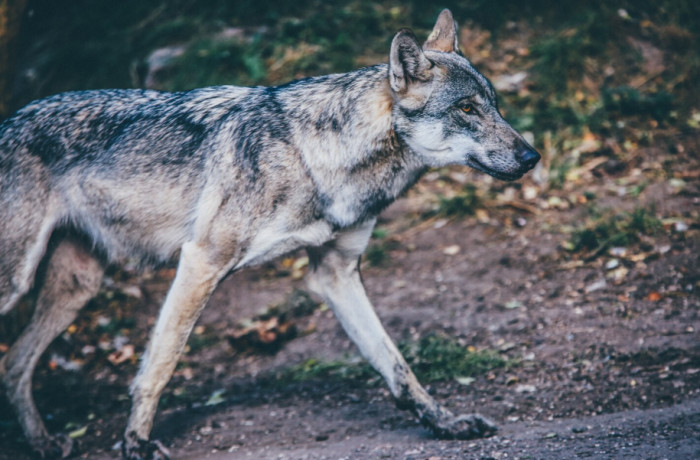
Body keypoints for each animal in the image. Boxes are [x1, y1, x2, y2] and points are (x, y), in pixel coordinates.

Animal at [0, 9, 539, 459]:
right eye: (466, 109)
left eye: (494, 106)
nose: (532, 156)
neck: (314, 156)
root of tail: (9, 119)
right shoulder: (200, 261)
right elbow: (160, 365)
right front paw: (136, 443)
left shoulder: (337, 274)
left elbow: (397, 366)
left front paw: (445, 423)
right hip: (19, 283)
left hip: (77, 288)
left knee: (15, 366)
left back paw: (44, 444)